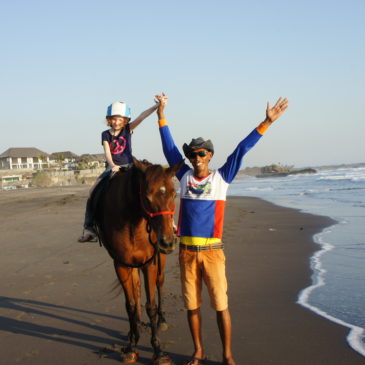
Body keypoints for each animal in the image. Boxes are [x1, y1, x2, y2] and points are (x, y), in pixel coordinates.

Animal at [92, 158, 181, 362]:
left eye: (174, 194)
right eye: (147, 197)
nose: (167, 242)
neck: (133, 222)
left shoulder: (150, 264)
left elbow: (151, 306)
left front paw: (158, 351)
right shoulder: (121, 265)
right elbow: (131, 305)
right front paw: (132, 345)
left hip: (159, 262)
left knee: (159, 284)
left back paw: (161, 320)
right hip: (132, 265)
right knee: (137, 290)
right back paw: (136, 326)